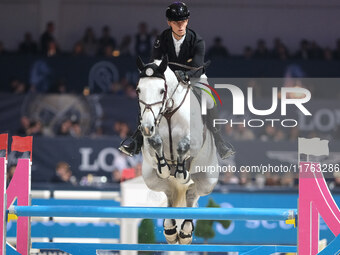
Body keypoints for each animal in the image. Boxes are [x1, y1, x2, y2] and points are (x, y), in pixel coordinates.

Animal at [137, 56, 219, 245]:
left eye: (161, 91)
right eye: (138, 90)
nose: (146, 128)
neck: (168, 112)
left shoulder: (195, 141)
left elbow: (183, 146)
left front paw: (182, 172)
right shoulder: (150, 144)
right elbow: (155, 143)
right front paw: (165, 168)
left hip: (207, 180)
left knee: (192, 194)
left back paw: (186, 232)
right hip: (150, 178)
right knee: (169, 193)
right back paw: (170, 229)